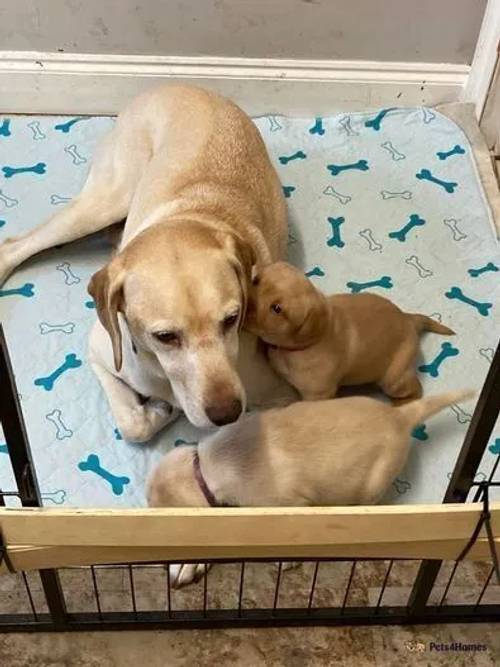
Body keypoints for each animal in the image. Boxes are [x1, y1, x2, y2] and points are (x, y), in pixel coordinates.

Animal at [244, 264, 456, 402]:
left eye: (277, 308)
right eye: (255, 280)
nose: (244, 305)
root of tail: (408, 319)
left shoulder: (318, 395)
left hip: (394, 379)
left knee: (416, 390)